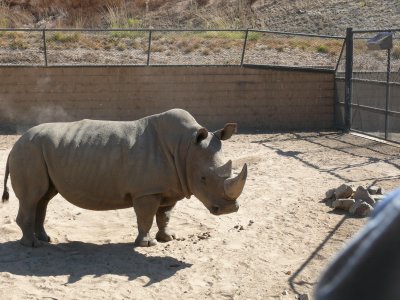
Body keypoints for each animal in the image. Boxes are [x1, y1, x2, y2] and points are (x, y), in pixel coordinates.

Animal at [1, 109, 247, 247]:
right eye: (203, 178)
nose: (229, 210)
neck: (185, 148)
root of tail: (15, 144)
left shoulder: (169, 187)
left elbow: (165, 216)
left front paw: (167, 238)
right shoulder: (146, 191)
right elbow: (146, 217)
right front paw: (146, 244)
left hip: (37, 152)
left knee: (43, 198)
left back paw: (45, 239)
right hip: (29, 152)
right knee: (32, 198)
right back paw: (32, 245)